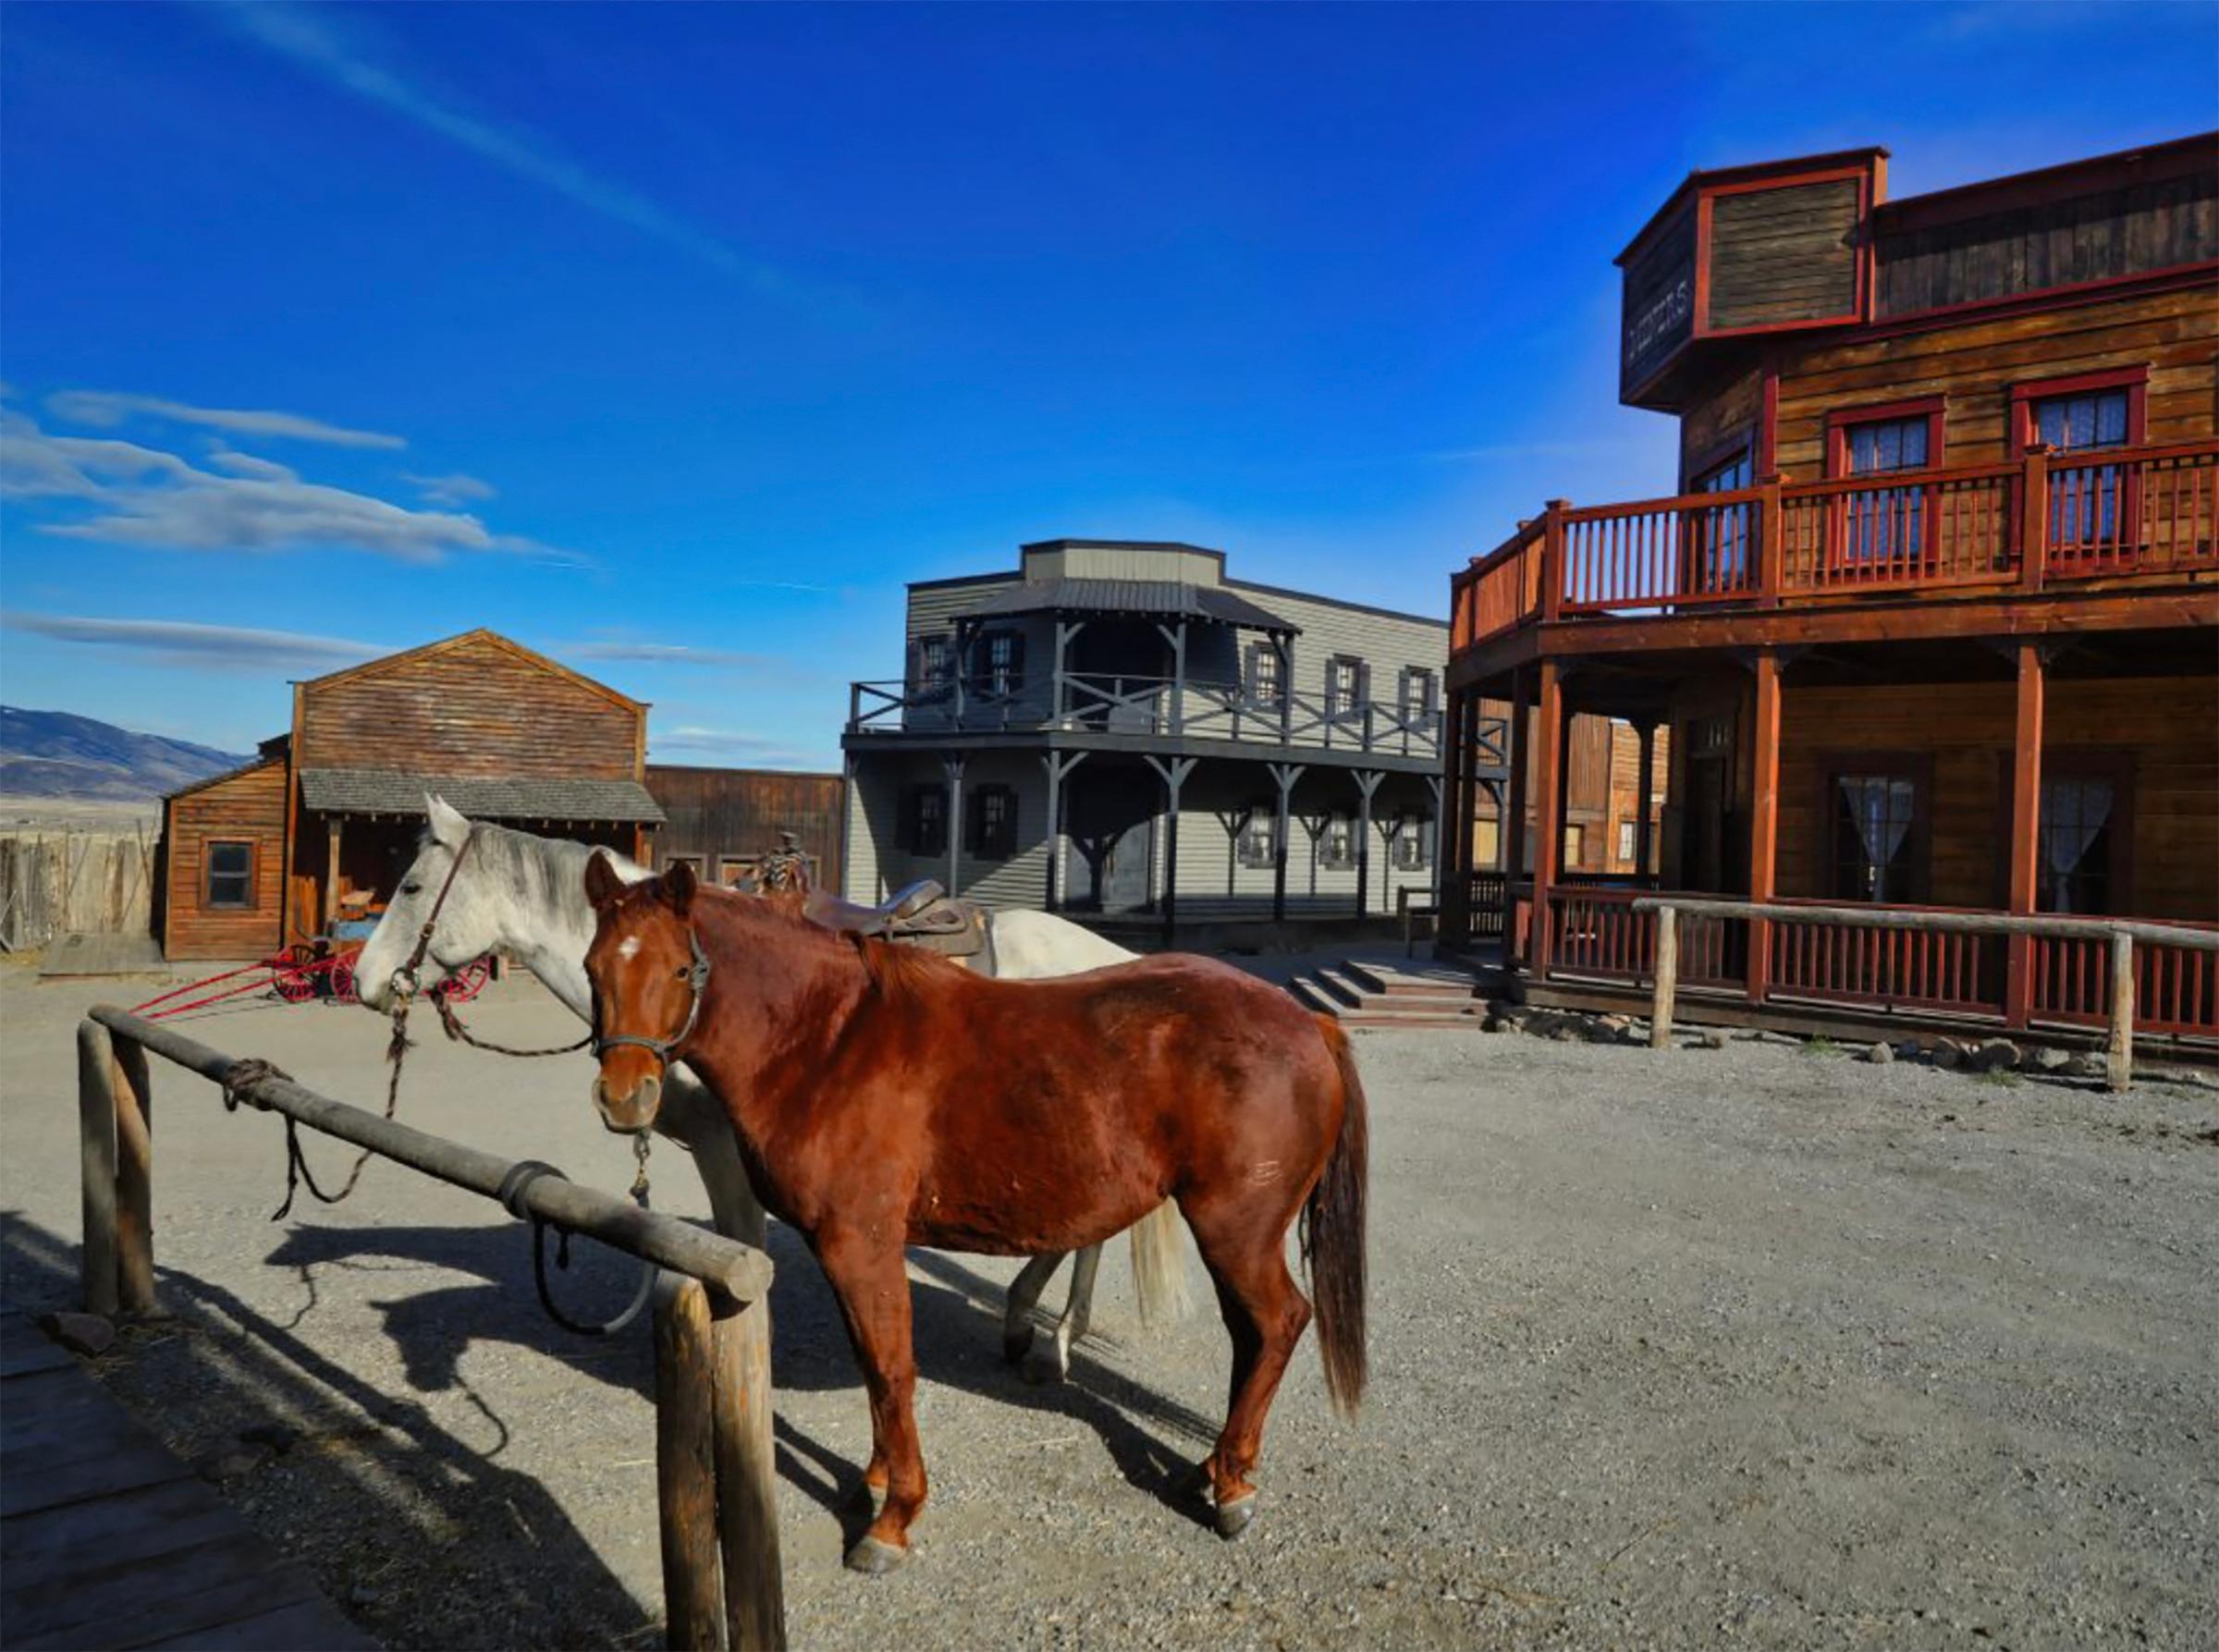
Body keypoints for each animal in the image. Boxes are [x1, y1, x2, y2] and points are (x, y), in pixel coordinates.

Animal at [355, 798, 1189, 1375]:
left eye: (411, 884)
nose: (362, 980)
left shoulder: (726, 1148)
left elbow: (742, 1249)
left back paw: (1054, 1337)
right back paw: (1032, 1325)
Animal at [581, 855, 1357, 1570]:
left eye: (681, 969)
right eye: (594, 968)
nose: (625, 1098)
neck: (827, 1039)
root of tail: (1308, 1021)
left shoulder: (860, 1244)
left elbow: (891, 1368)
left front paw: (894, 1517)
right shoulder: (848, 1250)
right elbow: (873, 1364)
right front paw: (875, 1481)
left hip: (1236, 1231)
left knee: (1277, 1324)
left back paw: (1231, 1488)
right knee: (1249, 1337)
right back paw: (1215, 1468)